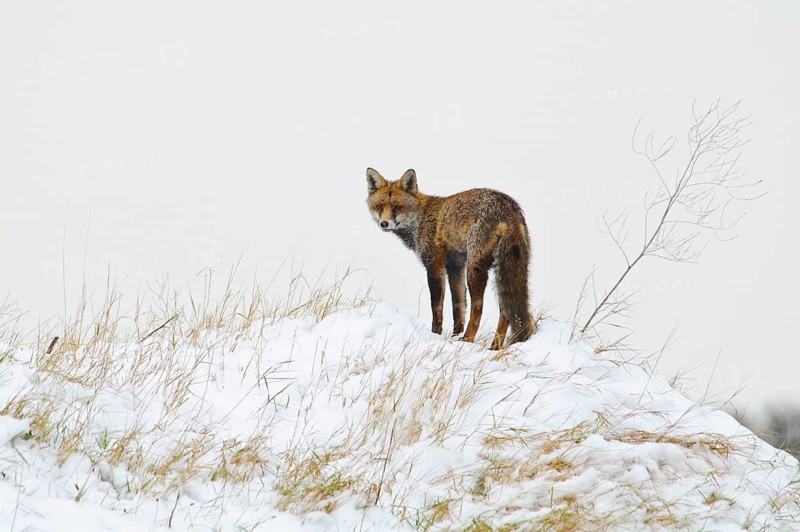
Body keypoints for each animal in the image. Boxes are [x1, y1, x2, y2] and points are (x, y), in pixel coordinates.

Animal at [365, 167, 536, 350]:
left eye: (398, 207)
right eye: (379, 206)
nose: (384, 224)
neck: (420, 219)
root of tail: (508, 206)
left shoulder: (434, 266)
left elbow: (437, 309)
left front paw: (436, 335)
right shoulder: (455, 266)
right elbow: (458, 307)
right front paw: (454, 336)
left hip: (475, 269)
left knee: (479, 308)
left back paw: (468, 339)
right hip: (509, 268)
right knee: (506, 311)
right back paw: (494, 347)